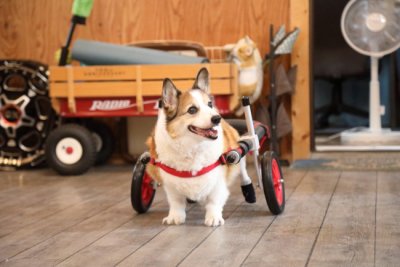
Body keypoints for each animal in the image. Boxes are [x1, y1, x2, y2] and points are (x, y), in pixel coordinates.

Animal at [145, 68, 248, 227]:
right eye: (192, 110)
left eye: (210, 104)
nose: (217, 118)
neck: (192, 147)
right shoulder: (171, 185)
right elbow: (176, 202)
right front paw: (175, 217)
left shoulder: (218, 182)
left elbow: (213, 201)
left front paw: (213, 217)